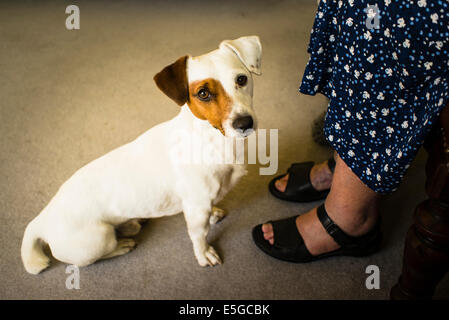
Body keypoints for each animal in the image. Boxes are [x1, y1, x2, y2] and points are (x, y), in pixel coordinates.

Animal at [21, 35, 262, 276]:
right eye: (203, 93)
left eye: (241, 79)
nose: (244, 123)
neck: (211, 139)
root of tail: (42, 219)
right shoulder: (196, 207)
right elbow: (198, 236)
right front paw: (204, 255)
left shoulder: (200, 204)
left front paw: (213, 215)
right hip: (99, 240)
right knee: (95, 256)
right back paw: (122, 245)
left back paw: (131, 224)